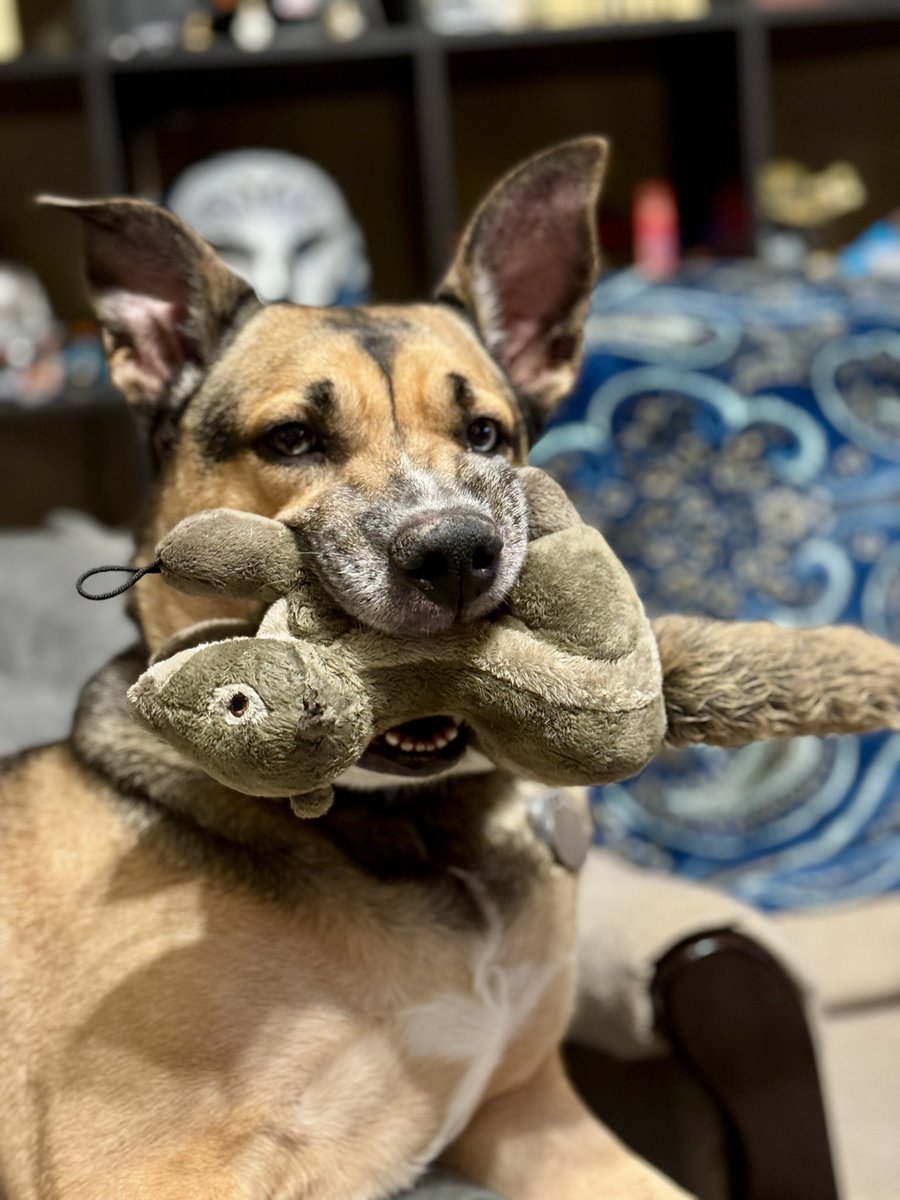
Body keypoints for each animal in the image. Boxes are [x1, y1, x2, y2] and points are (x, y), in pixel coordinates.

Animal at [0, 142, 696, 1200]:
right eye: (292, 440)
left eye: (486, 435)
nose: (456, 554)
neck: (414, 826)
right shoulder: (134, 1169)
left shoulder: (532, 1115)